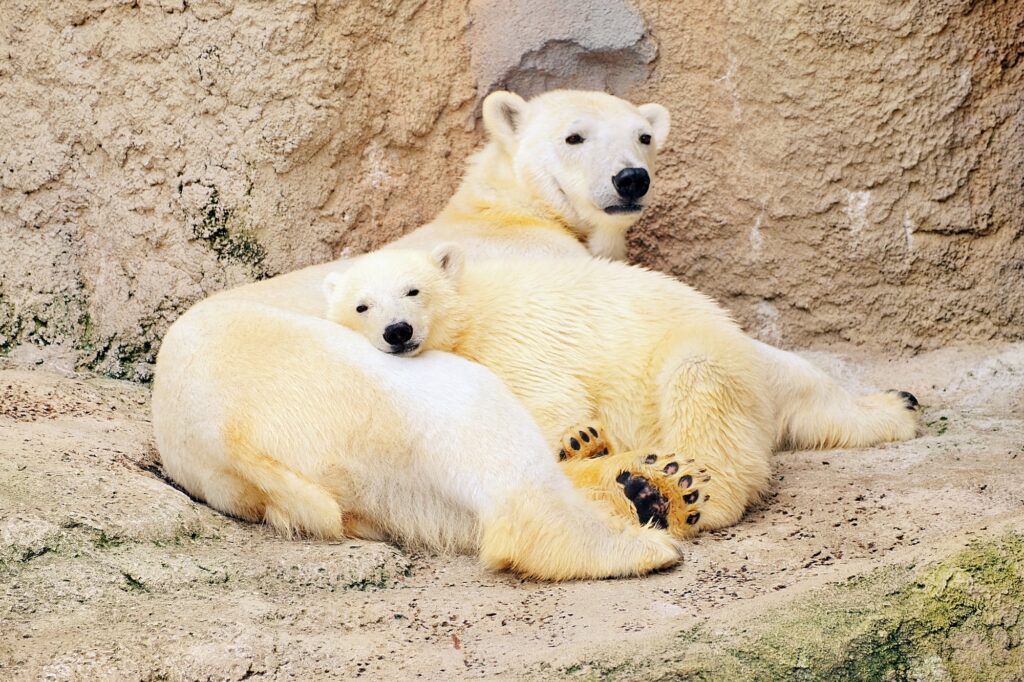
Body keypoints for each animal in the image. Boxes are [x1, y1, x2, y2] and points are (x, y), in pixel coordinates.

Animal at [151, 89, 921, 577]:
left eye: (644, 135)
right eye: (574, 136)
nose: (631, 178)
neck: (510, 208)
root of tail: (223, 438)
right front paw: (891, 404)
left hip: (357, 487)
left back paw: (639, 482)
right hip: (337, 379)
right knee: (484, 435)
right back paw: (641, 527)